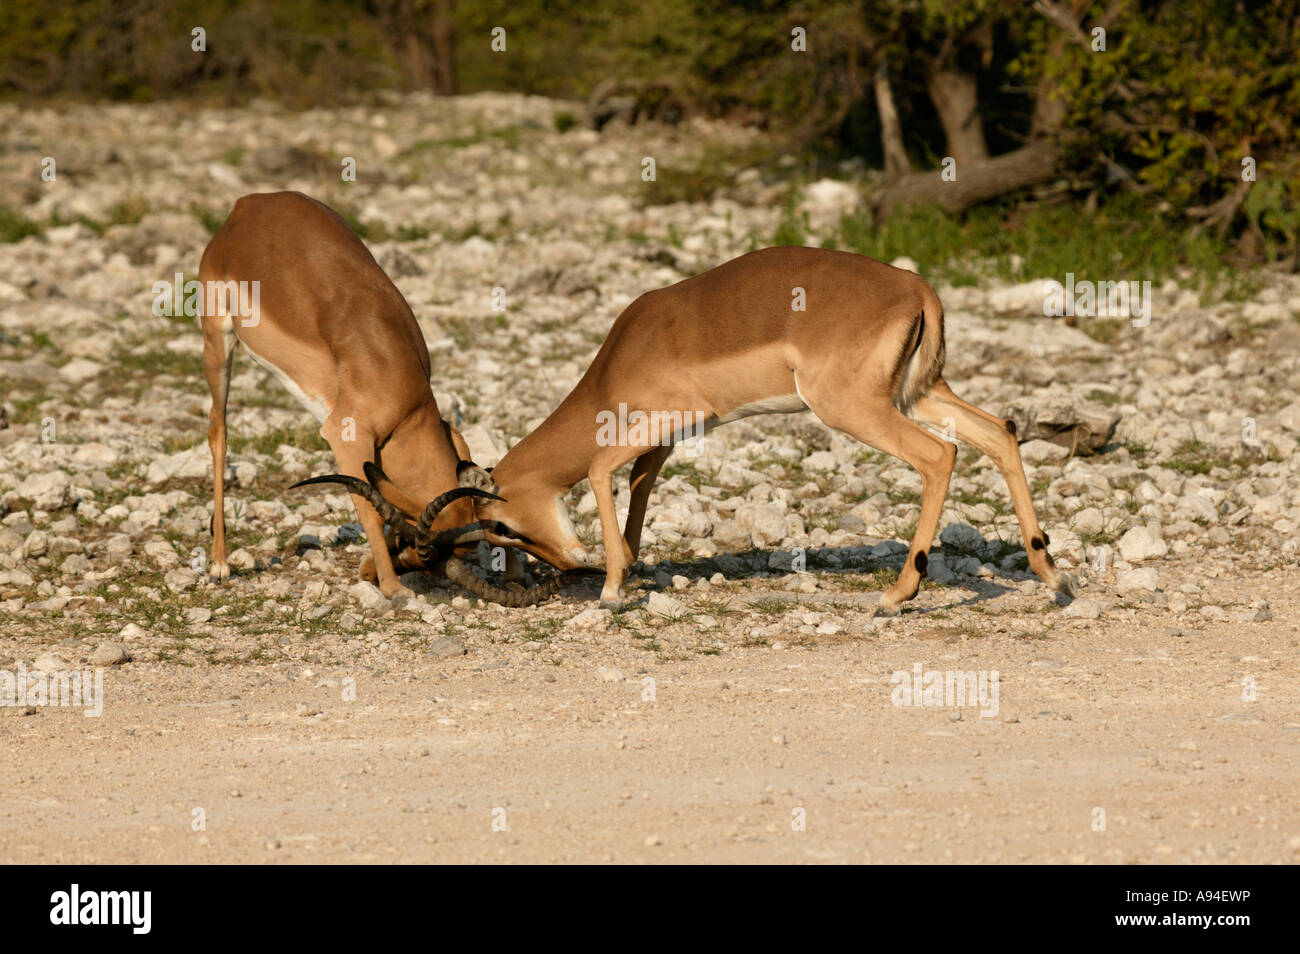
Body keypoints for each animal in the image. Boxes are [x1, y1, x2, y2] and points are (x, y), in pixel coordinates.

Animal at [197, 191, 555, 604]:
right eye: (411, 546)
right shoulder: (347, 435)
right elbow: (367, 508)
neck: (407, 408)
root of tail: (248, 204)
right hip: (218, 342)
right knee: (218, 431)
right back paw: (219, 564)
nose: (368, 573)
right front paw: (393, 587)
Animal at [458, 246, 1076, 612]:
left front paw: (611, 592)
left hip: (853, 408)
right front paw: (629, 568)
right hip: (919, 393)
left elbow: (599, 466)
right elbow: (639, 483)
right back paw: (1053, 576)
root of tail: (916, 288)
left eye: (502, 526)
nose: (566, 566)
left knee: (939, 455)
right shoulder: (670, 436)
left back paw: (899, 593)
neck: (619, 357)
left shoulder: (666, 418)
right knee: (1000, 432)